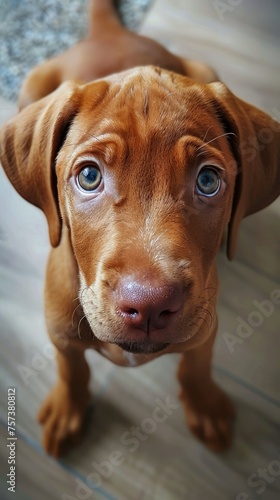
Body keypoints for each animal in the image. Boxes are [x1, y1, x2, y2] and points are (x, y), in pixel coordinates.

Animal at [0, 0, 280, 458]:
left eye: (208, 180)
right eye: (89, 176)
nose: (149, 305)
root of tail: (110, 33)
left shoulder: (205, 327)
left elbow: (195, 366)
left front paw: (204, 404)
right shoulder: (59, 333)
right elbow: (71, 368)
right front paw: (67, 407)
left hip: (204, 67)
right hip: (32, 82)